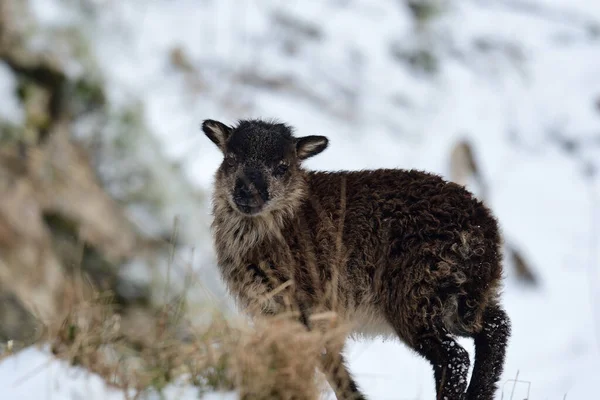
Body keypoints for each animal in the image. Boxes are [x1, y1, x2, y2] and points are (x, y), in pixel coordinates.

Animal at [202, 119, 510, 400]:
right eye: (231, 158)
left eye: (282, 166)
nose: (247, 192)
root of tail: (481, 231)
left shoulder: (307, 306)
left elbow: (319, 364)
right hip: (465, 297)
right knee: (496, 327)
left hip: (415, 295)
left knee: (454, 357)